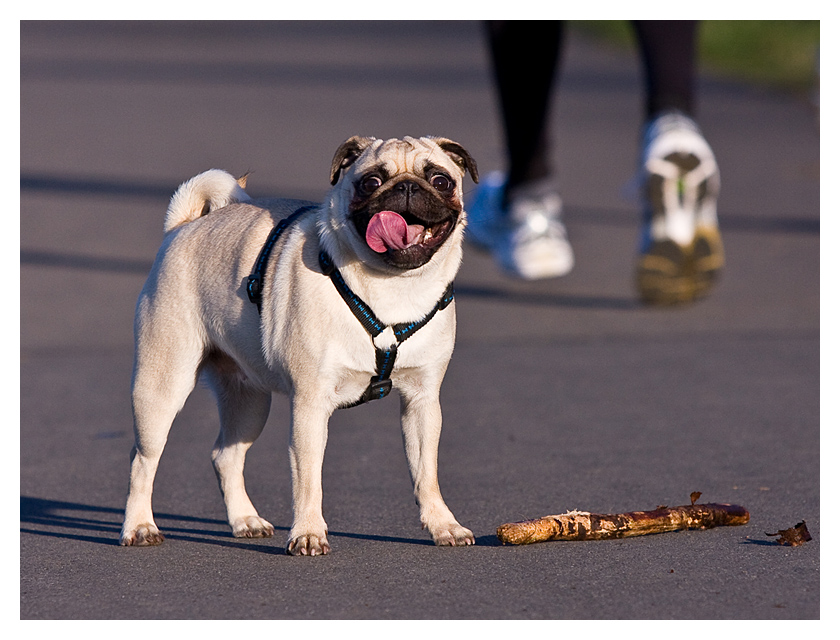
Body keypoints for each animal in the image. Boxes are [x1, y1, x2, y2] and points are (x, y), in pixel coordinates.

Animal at [118, 136, 480, 556]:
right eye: (370, 182)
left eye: (440, 181)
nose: (406, 187)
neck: (395, 286)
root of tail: (186, 225)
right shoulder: (310, 404)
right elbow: (308, 479)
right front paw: (308, 533)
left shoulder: (422, 401)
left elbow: (426, 473)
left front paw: (443, 524)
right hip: (163, 387)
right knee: (143, 459)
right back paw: (139, 526)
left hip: (248, 401)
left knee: (225, 455)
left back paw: (245, 520)